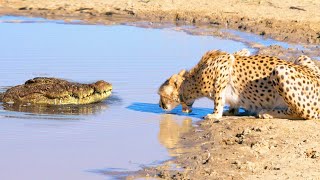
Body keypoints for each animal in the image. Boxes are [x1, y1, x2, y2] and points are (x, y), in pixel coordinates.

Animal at [158, 48, 320, 119]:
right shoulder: (240, 53)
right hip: (301, 57)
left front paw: (215, 115)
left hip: (280, 70)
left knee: (307, 114)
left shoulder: (223, 65)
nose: (160, 105)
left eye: (161, 95)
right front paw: (231, 110)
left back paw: (266, 112)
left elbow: (218, 97)